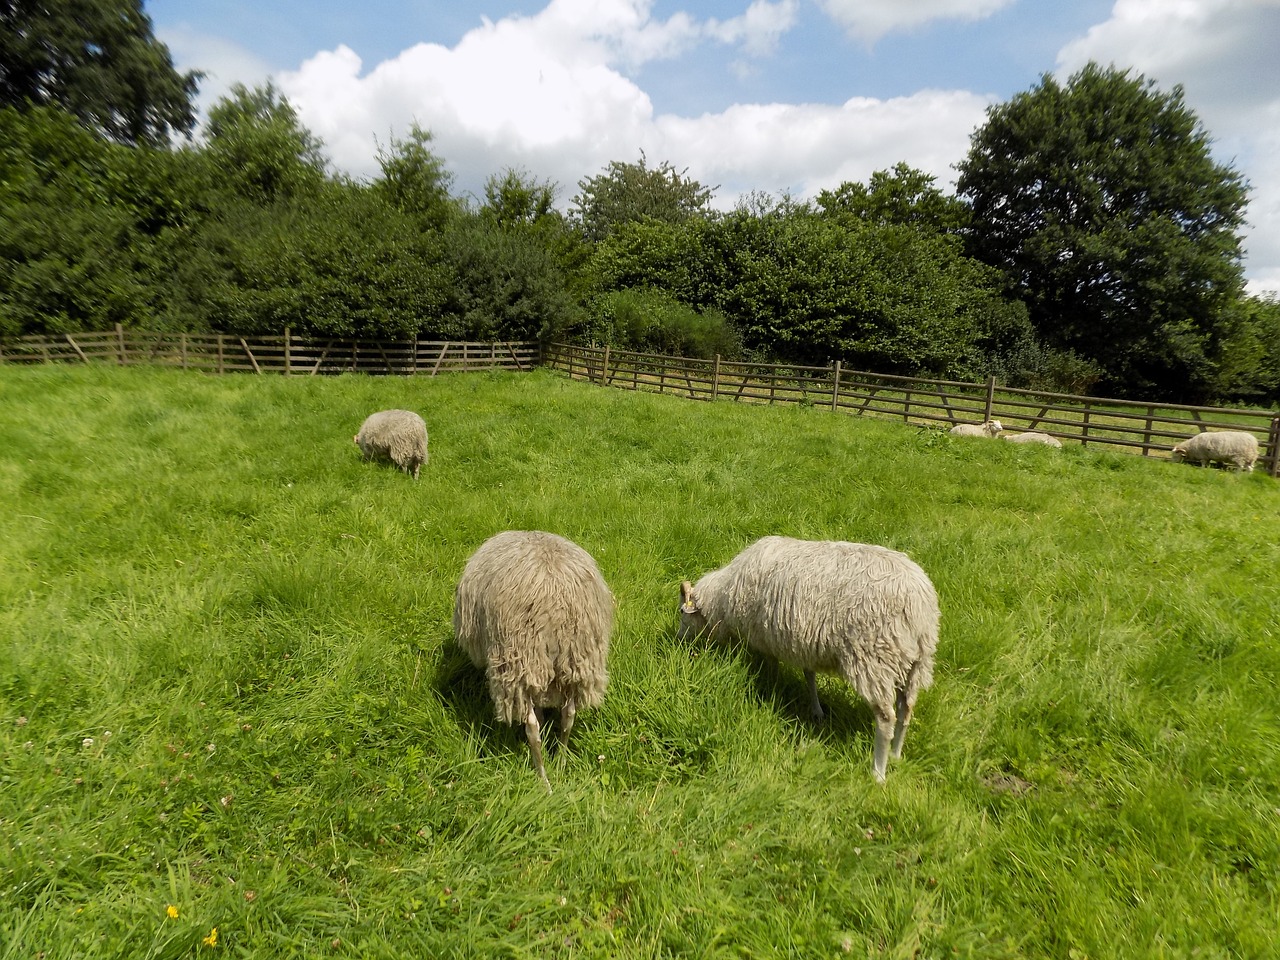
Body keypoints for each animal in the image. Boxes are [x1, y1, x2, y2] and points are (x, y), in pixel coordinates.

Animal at [453, 529, 611, 793]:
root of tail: (554, 604)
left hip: (518, 662)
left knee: (532, 727)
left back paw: (543, 779)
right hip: (576, 662)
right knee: (568, 716)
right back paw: (560, 762)